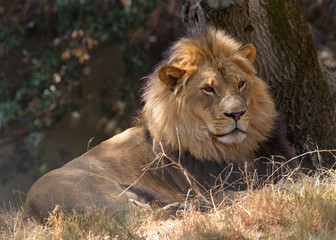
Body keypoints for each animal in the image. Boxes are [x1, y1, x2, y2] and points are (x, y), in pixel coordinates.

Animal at [23, 27, 296, 220]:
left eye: (240, 84)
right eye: (208, 89)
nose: (237, 114)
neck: (235, 150)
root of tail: (28, 210)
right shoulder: (213, 189)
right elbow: (257, 190)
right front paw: (286, 185)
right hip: (92, 191)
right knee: (134, 217)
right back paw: (188, 207)